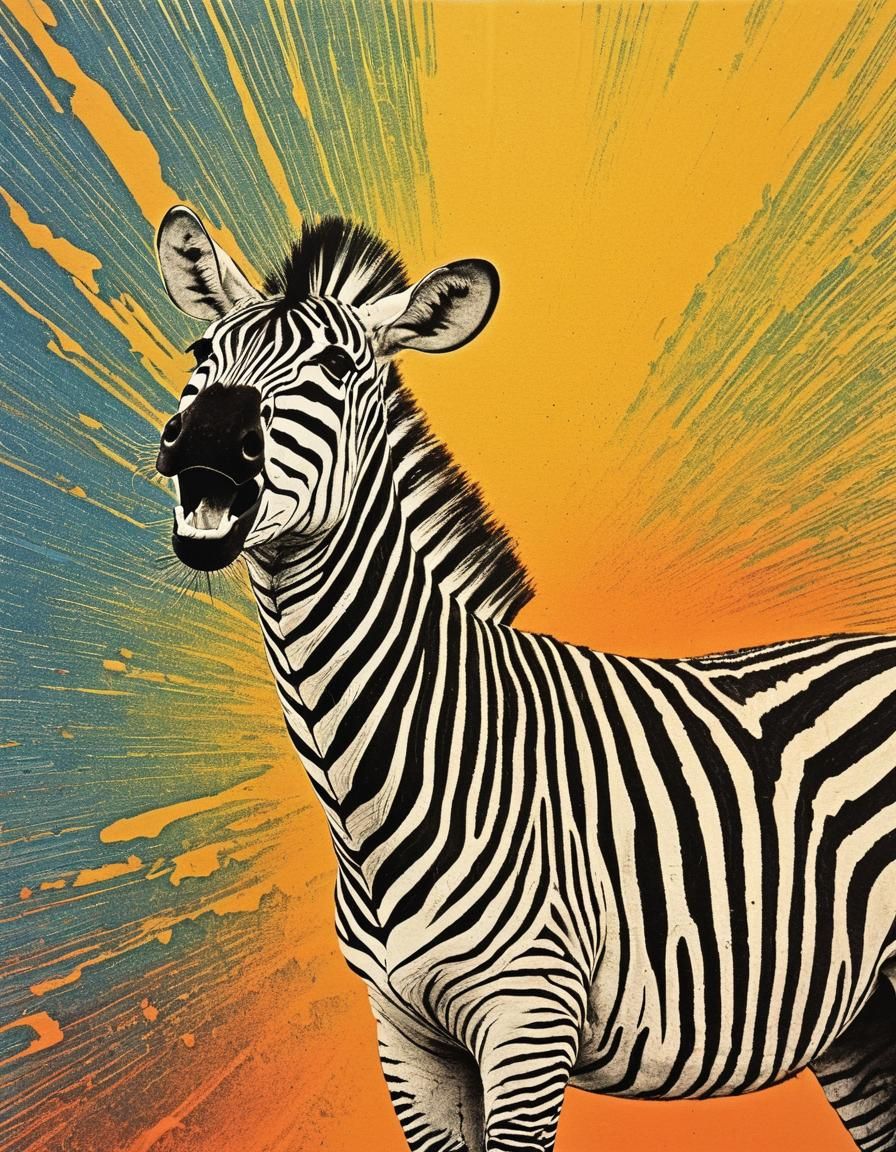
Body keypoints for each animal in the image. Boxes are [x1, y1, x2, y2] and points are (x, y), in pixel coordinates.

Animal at [154, 203, 896, 1152]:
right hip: (862, 1020)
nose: (209, 439)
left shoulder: (529, 1017)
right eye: (200, 351)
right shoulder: (408, 1037)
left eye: (339, 366)